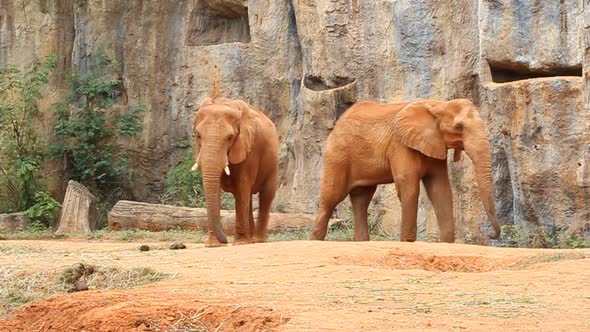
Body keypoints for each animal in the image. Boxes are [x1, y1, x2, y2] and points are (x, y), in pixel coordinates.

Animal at [192, 96, 280, 246]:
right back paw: (251, 240)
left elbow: (242, 186)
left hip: (272, 163)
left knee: (266, 194)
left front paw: (240, 243)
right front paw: (212, 245)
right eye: (198, 135)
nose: (225, 241)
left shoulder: (249, 149)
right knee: (248, 197)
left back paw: (258, 240)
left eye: (230, 138)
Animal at [312, 97, 502, 243]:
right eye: (459, 127)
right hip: (338, 154)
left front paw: (446, 243)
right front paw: (408, 242)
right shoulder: (400, 145)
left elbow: (440, 190)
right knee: (331, 197)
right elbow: (409, 188)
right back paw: (315, 242)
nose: (490, 235)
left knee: (361, 199)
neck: (438, 104)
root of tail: (337, 124)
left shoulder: (435, 144)